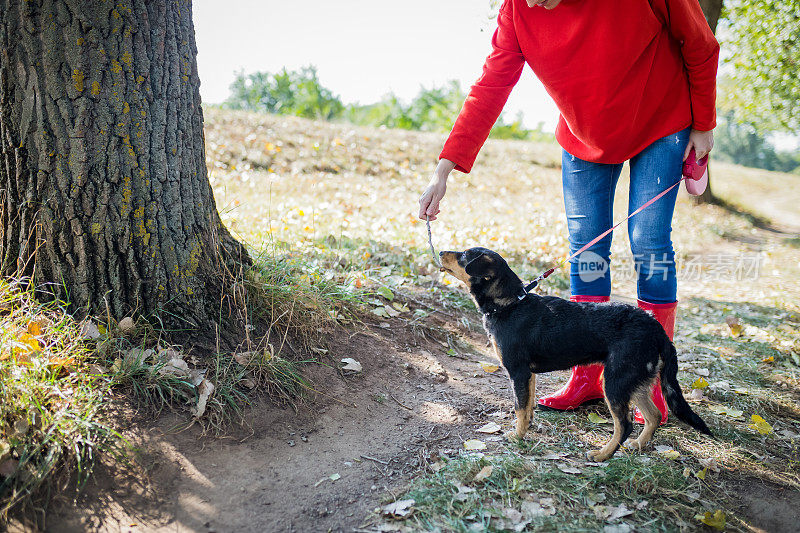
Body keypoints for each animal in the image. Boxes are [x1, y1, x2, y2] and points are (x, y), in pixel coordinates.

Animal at [438, 247, 712, 460]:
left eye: (464, 255)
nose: (440, 252)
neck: (511, 303)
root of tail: (656, 328)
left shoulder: (517, 372)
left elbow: (519, 408)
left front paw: (516, 437)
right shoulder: (529, 374)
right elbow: (528, 406)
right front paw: (528, 428)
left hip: (616, 380)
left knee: (624, 425)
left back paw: (603, 455)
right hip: (634, 379)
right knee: (653, 415)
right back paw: (638, 445)